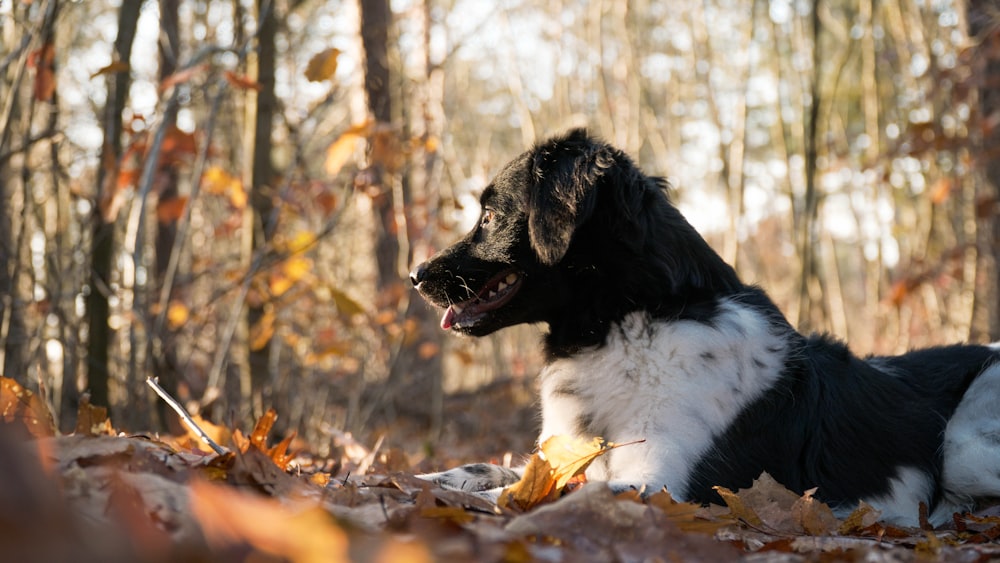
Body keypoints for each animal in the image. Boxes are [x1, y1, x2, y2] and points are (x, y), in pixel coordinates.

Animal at [406, 130, 1000, 528]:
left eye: (489, 217)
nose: (414, 275)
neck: (626, 323)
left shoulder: (664, 481)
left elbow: (543, 496)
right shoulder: (564, 455)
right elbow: (495, 470)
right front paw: (420, 481)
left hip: (965, 441)